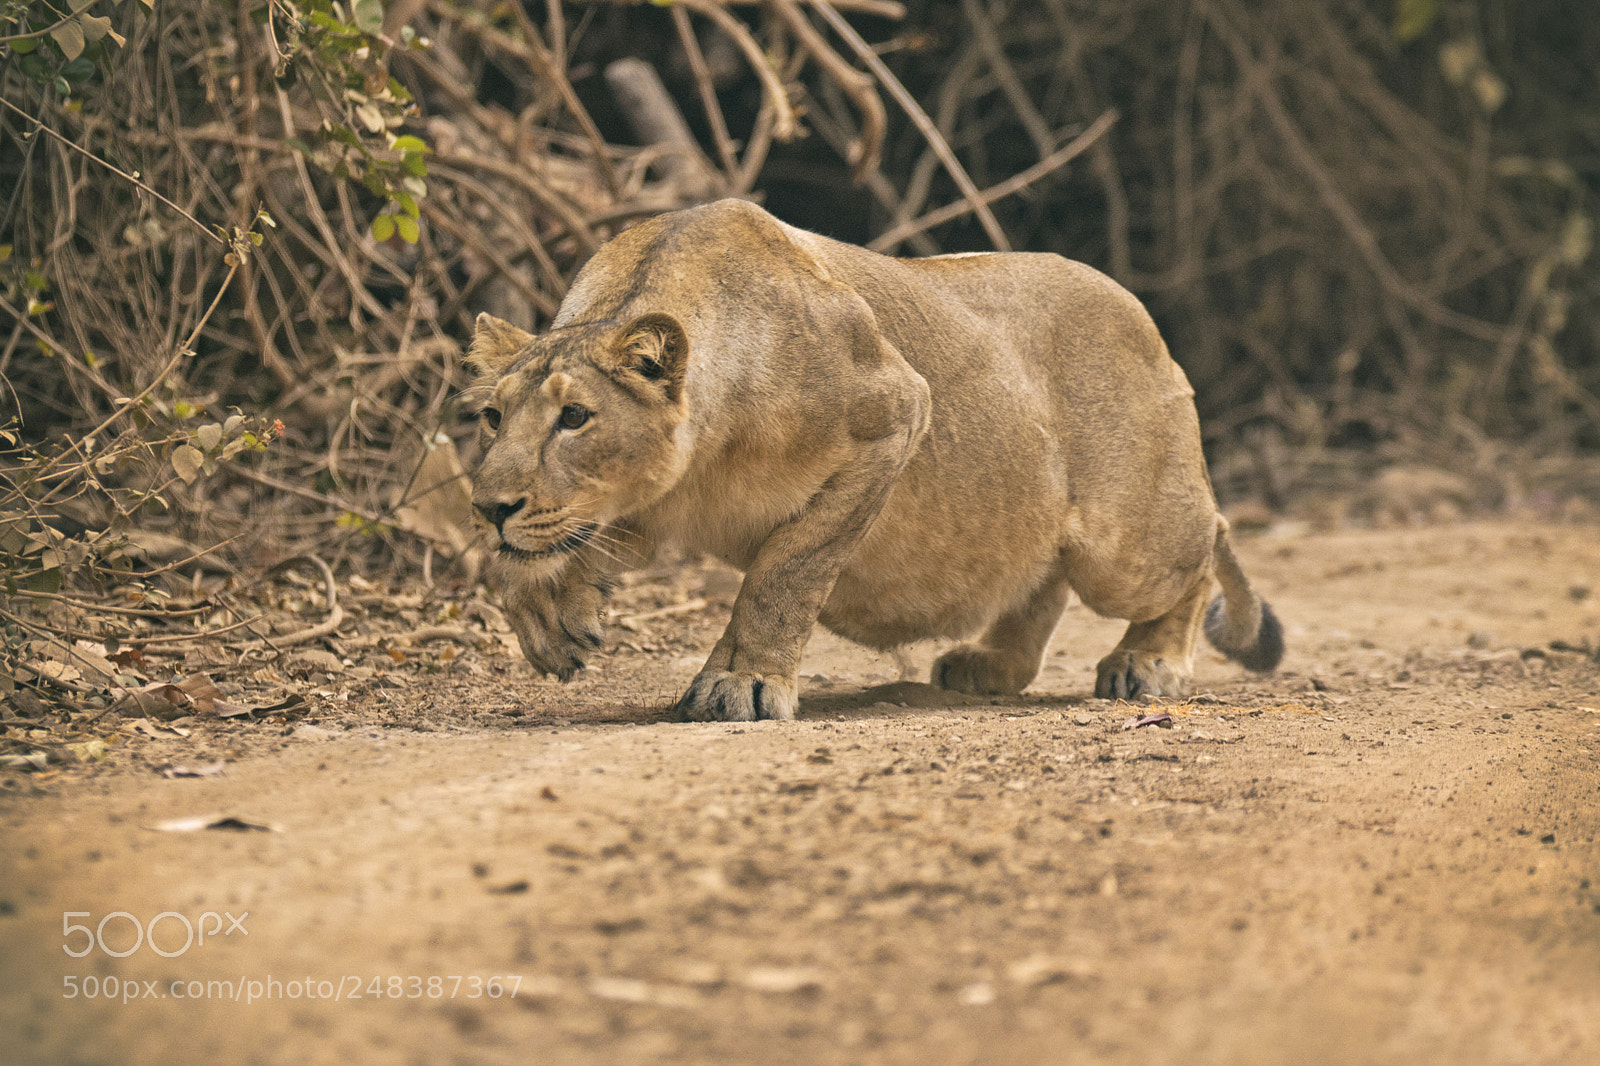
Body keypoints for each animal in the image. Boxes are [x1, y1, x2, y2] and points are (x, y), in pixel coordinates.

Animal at [465, 199, 1282, 721]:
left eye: (575, 417)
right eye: (492, 417)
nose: (487, 508)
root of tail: (1142, 315)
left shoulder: (894, 413)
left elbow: (785, 571)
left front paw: (744, 682)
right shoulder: (640, 503)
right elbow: (547, 552)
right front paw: (551, 618)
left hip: (1125, 545)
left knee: (1203, 543)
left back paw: (1149, 663)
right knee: (1039, 578)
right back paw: (988, 665)